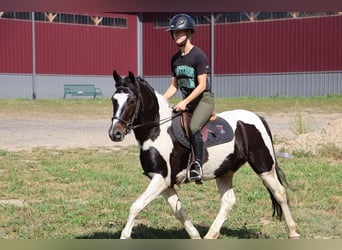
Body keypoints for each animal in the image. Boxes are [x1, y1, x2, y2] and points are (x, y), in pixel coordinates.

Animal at [107, 71, 300, 240]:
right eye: (114, 100)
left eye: (132, 100)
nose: (115, 133)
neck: (157, 130)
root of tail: (257, 117)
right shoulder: (165, 182)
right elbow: (178, 210)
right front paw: (195, 236)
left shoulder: (161, 178)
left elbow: (136, 206)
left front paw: (124, 236)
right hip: (224, 171)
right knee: (228, 201)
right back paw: (210, 235)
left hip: (263, 166)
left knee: (279, 192)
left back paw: (293, 232)